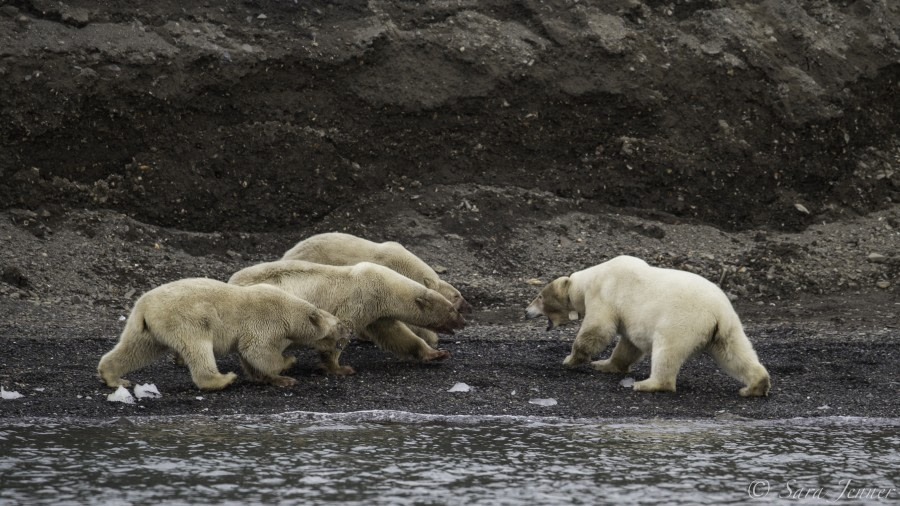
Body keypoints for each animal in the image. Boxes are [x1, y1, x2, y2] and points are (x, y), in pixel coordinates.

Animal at [96, 276, 350, 392]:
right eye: (338, 323)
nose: (348, 330)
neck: (290, 309)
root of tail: (145, 307)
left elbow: (248, 356)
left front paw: (273, 378)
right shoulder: (266, 320)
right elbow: (257, 350)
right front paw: (288, 363)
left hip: (146, 328)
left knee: (136, 349)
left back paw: (113, 377)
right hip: (188, 319)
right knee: (198, 348)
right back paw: (222, 379)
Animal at [227, 260, 464, 376]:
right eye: (452, 309)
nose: (463, 322)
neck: (385, 286)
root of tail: (232, 281)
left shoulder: (376, 313)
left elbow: (397, 335)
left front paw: (436, 353)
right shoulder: (360, 301)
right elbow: (339, 331)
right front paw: (339, 368)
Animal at [524, 256, 768, 396]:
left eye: (539, 296)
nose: (526, 311)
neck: (586, 282)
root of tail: (717, 311)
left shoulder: (604, 295)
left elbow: (598, 330)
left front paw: (571, 359)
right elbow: (628, 346)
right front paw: (604, 364)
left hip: (681, 322)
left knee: (667, 352)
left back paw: (647, 384)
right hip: (726, 328)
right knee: (734, 353)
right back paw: (755, 386)